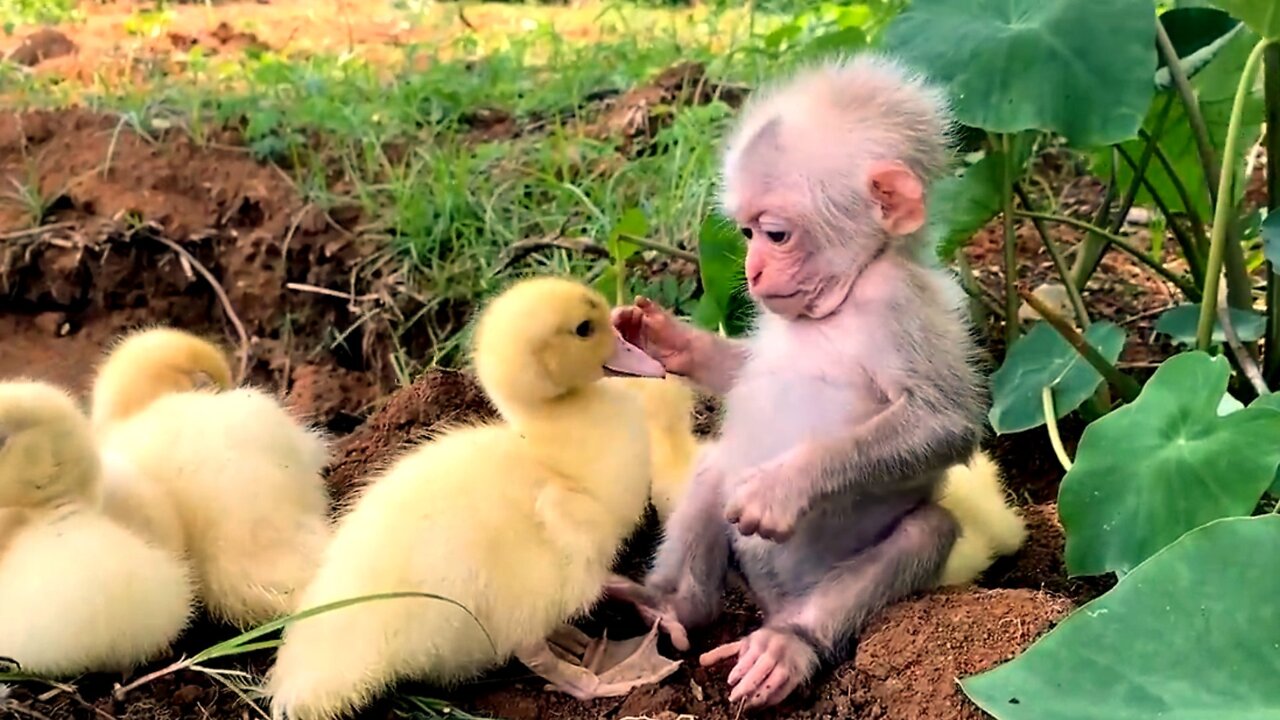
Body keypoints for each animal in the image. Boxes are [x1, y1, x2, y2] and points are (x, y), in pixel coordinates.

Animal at [606, 54, 977, 707]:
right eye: (746, 234)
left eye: (775, 233)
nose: (753, 271)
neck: (844, 296)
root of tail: (774, 598)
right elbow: (742, 373)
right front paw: (669, 340)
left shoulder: (899, 305)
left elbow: (946, 422)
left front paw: (782, 487)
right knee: (716, 469)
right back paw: (670, 605)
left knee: (927, 530)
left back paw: (789, 645)